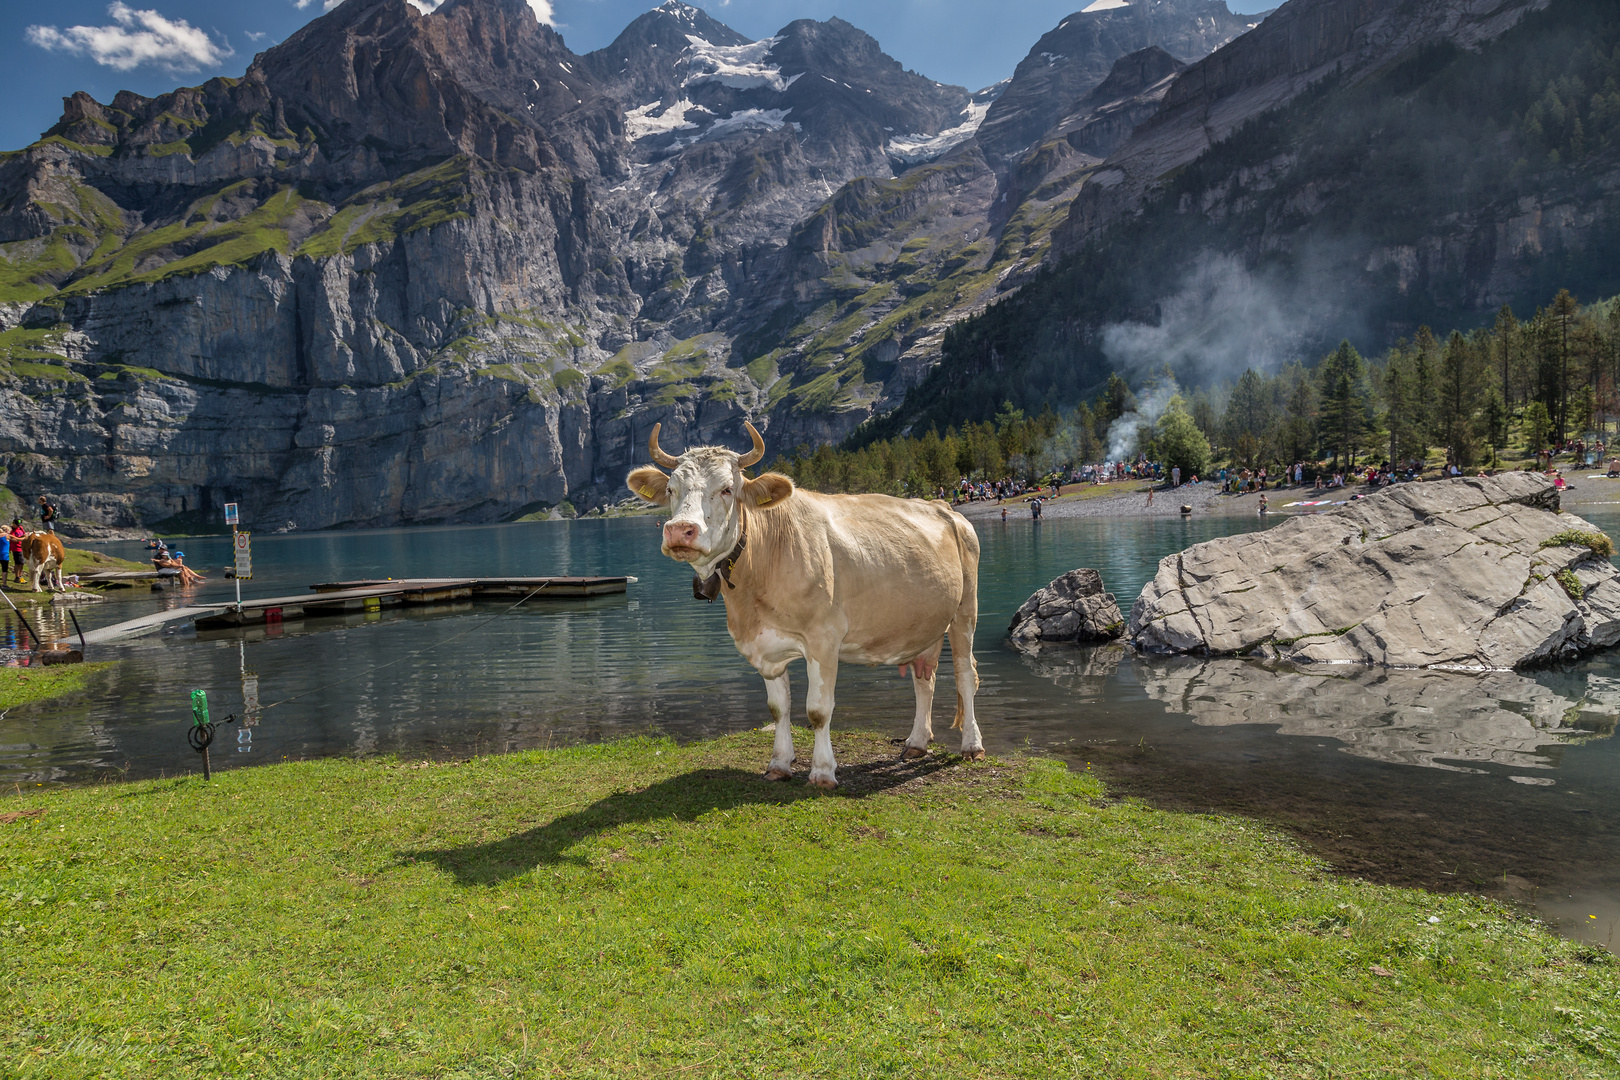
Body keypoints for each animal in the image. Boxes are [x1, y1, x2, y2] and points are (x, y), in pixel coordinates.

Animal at [622, 420, 978, 786]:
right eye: (671, 490)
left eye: (727, 489)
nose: (680, 530)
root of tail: (942, 506)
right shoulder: (765, 647)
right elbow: (778, 709)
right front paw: (779, 764)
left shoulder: (824, 638)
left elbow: (818, 710)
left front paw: (822, 771)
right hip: (924, 625)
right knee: (925, 678)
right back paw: (917, 743)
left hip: (965, 611)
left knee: (966, 674)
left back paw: (972, 745)